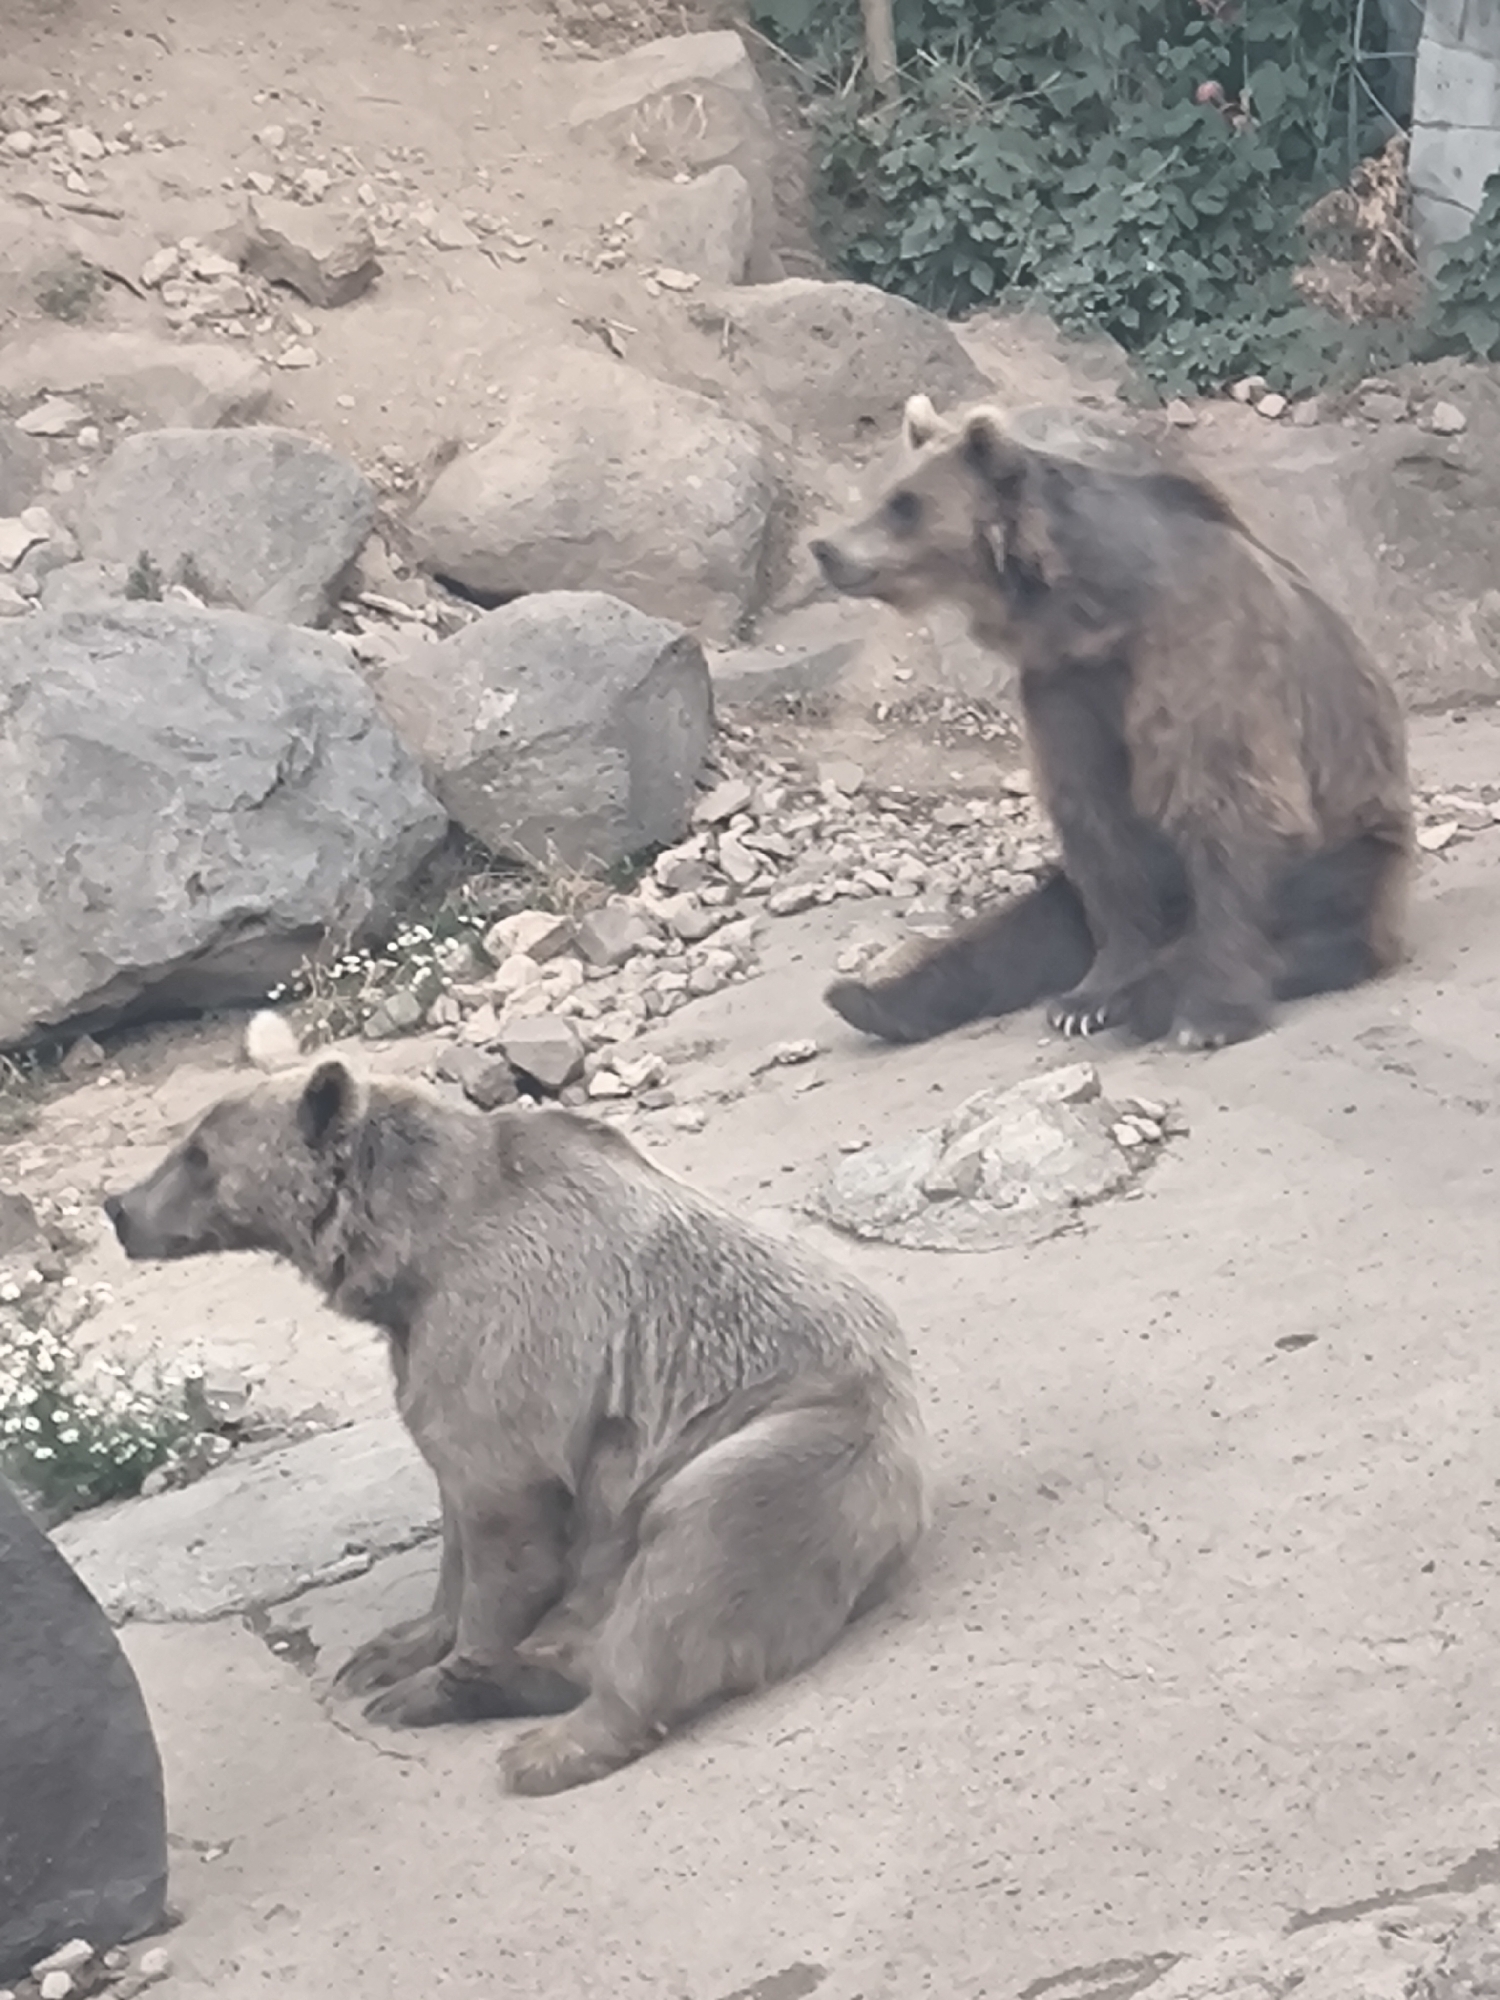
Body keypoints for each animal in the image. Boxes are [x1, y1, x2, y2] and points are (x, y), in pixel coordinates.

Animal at [102, 1060, 929, 1797]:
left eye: (198, 1153)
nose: (118, 1207)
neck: (412, 1254)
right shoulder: (427, 1354)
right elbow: (452, 1520)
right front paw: (389, 1649)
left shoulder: (508, 1330)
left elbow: (502, 1526)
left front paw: (435, 1677)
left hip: (787, 1445)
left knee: (692, 1565)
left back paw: (540, 1742)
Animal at [807, 392, 1414, 1053]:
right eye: (885, 492)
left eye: (906, 505)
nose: (826, 549)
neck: (1092, 613)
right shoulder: (1062, 687)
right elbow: (1097, 828)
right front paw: (1087, 998)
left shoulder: (1201, 655)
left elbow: (1230, 804)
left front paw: (1209, 1015)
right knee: (1029, 928)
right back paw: (874, 998)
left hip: (1345, 862)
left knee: (1306, 925)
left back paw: (1159, 995)